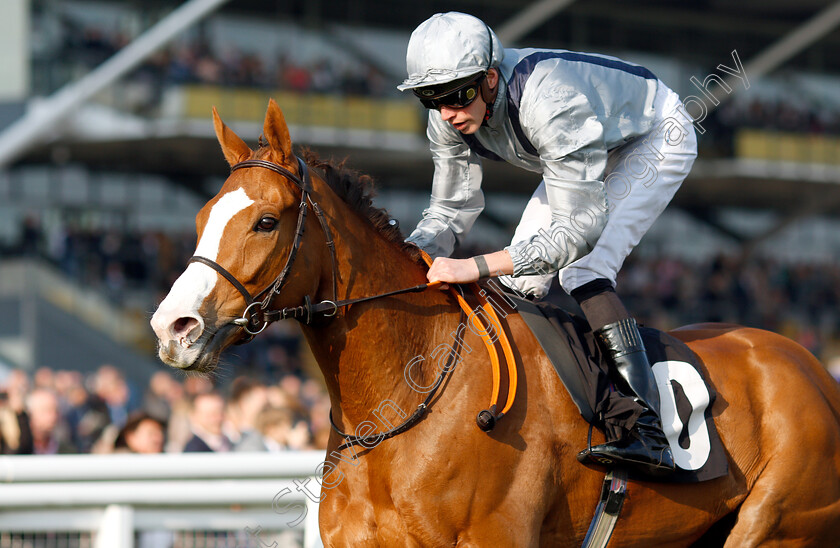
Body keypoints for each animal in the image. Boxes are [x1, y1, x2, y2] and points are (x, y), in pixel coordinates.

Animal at [149, 100, 840, 544]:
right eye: (200, 217)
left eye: (266, 221)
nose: (173, 327)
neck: (403, 399)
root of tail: (814, 368)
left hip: (779, 525)